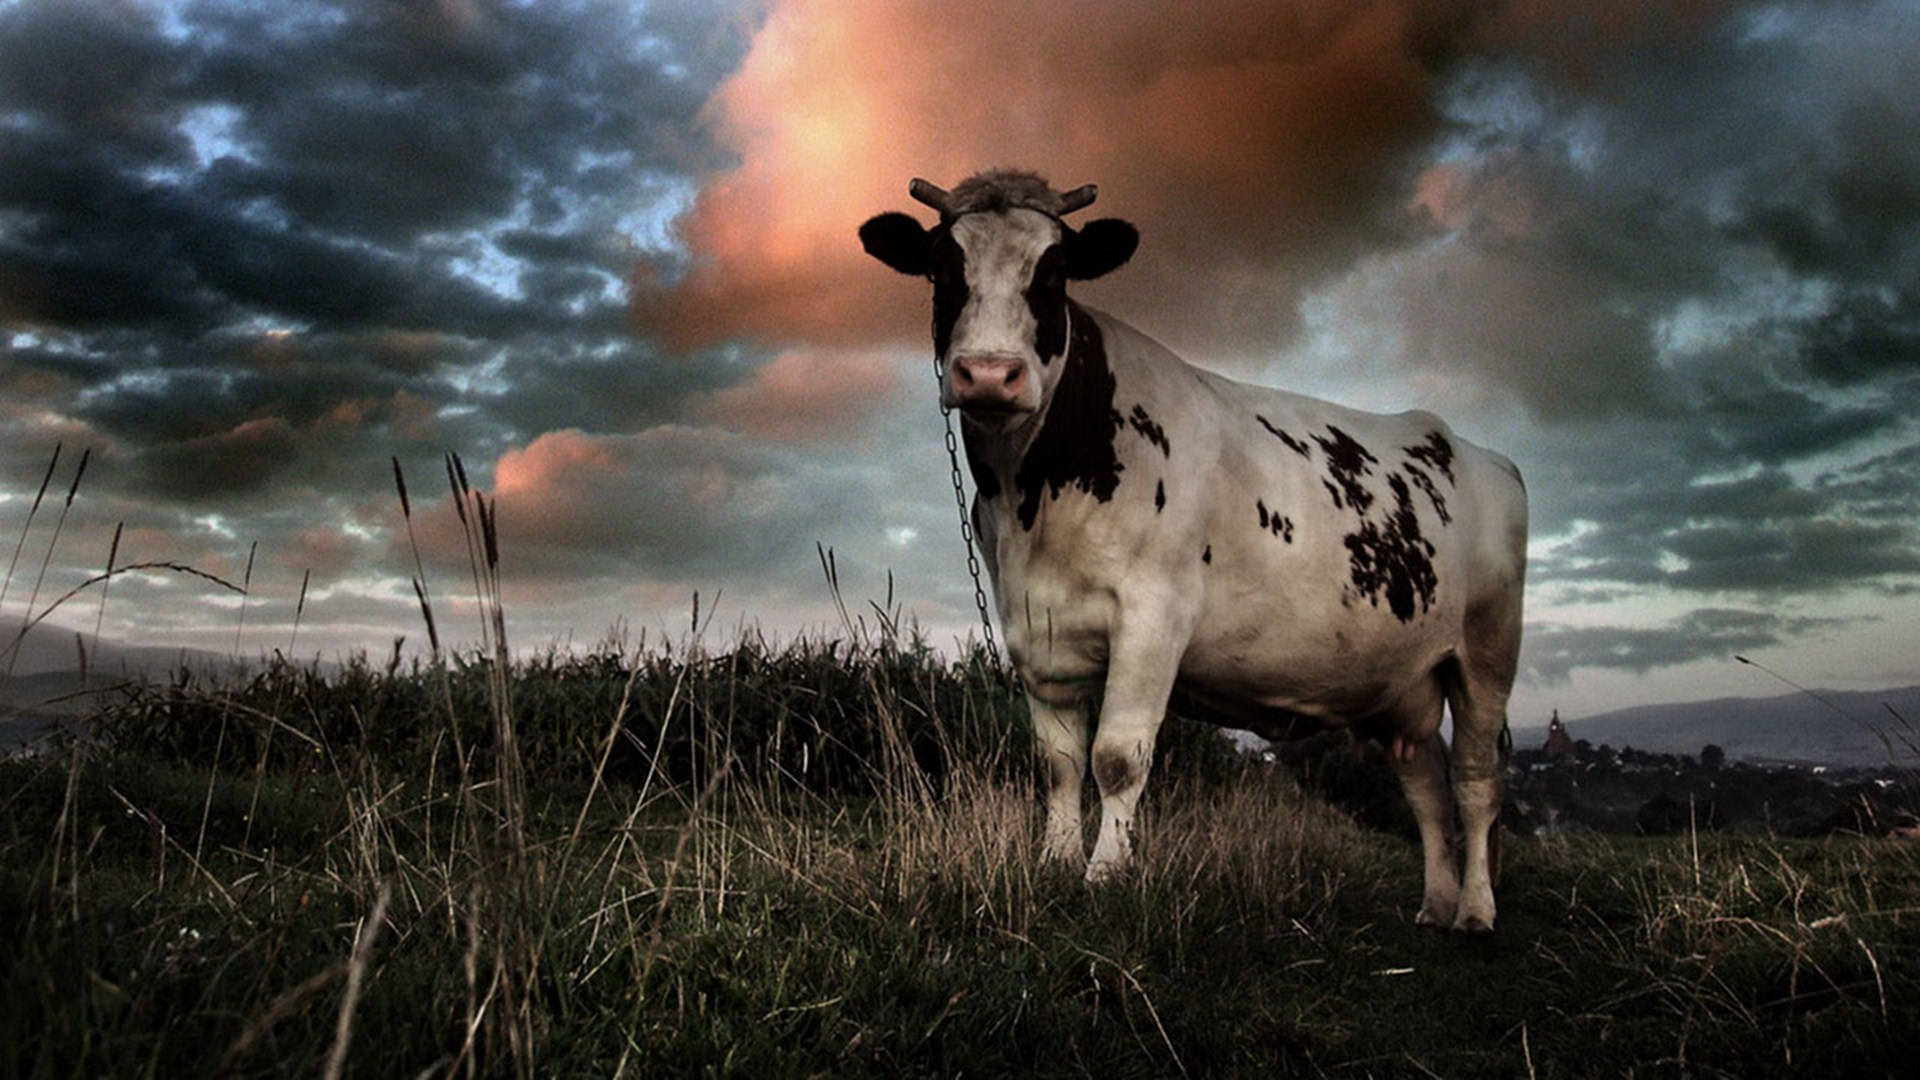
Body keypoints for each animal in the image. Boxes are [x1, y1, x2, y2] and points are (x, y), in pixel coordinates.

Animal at [860, 170, 1528, 932]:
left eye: (1054, 272)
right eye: (942, 267)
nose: (989, 375)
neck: (1033, 497)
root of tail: (1478, 452)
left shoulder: (1155, 613)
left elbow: (1116, 757)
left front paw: (1104, 875)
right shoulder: (1036, 628)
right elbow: (1058, 762)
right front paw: (1055, 863)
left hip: (1487, 651)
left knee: (1475, 783)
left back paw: (1475, 910)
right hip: (1399, 683)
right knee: (1426, 787)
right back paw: (1435, 905)